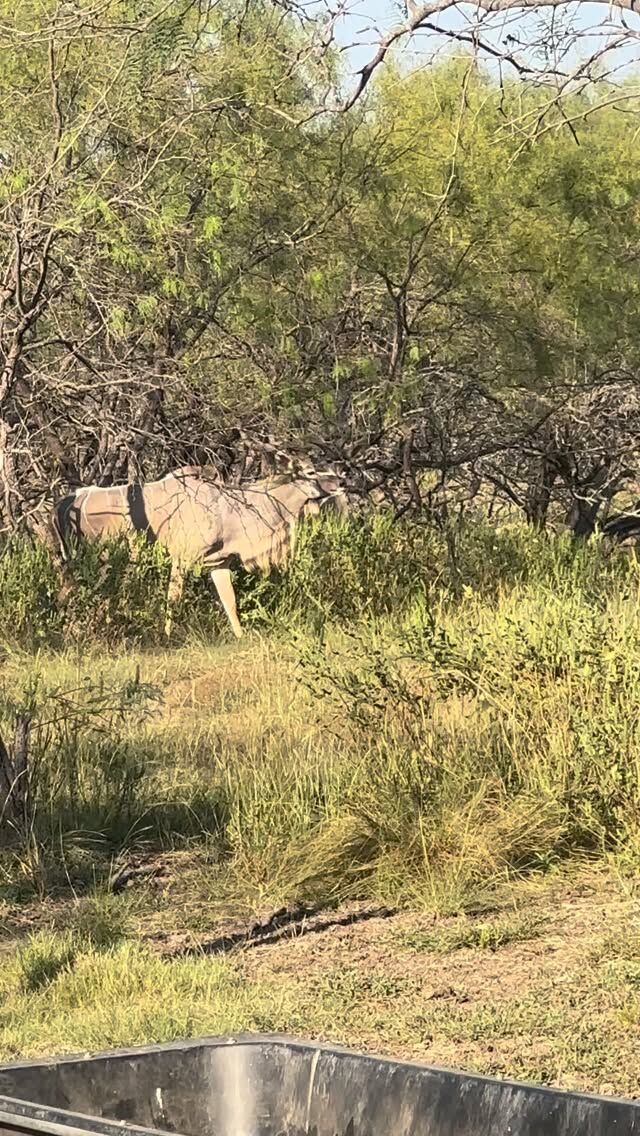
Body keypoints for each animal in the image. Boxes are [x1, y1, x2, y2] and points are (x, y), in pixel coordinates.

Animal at [50, 465, 347, 637]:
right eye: (312, 474)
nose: (341, 480)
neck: (228, 509)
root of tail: (68, 500)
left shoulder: (218, 565)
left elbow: (230, 601)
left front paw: (240, 635)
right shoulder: (181, 560)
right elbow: (173, 599)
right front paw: (167, 635)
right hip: (99, 560)